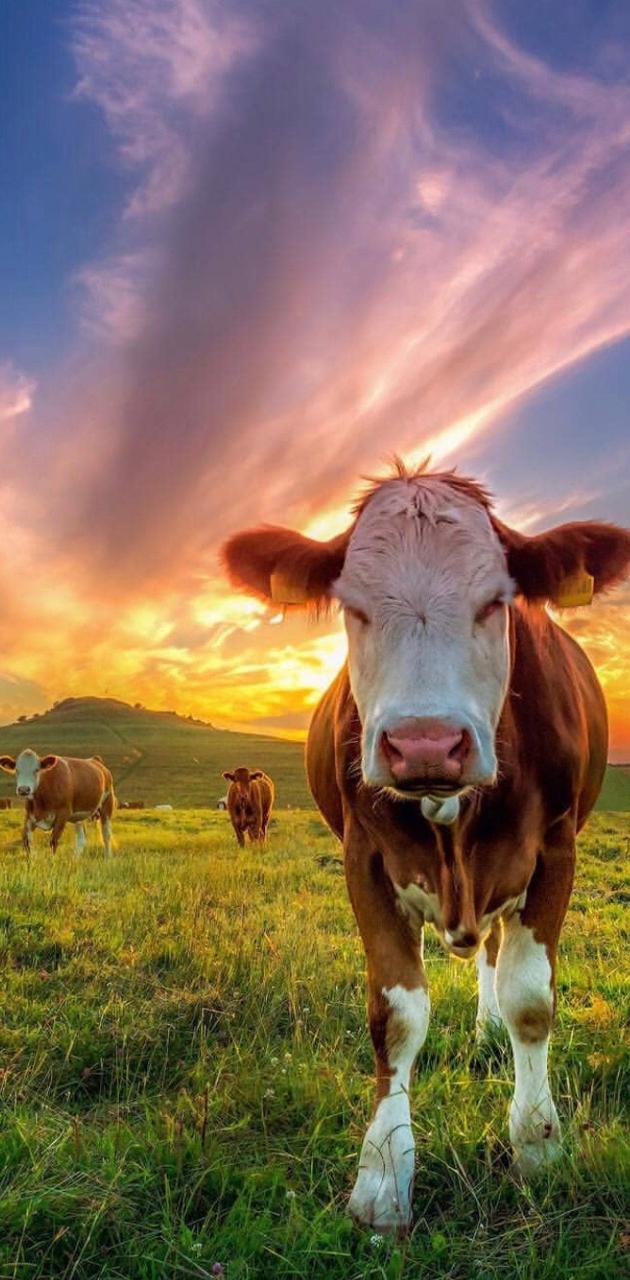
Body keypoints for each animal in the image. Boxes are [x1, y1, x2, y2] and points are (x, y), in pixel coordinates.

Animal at [222, 464, 630, 1235]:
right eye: (352, 606)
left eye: (497, 601)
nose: (424, 745)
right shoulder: (364, 859)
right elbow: (397, 1015)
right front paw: (382, 1180)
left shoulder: (556, 848)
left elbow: (530, 1000)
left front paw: (537, 1147)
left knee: (496, 959)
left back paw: (490, 1033)